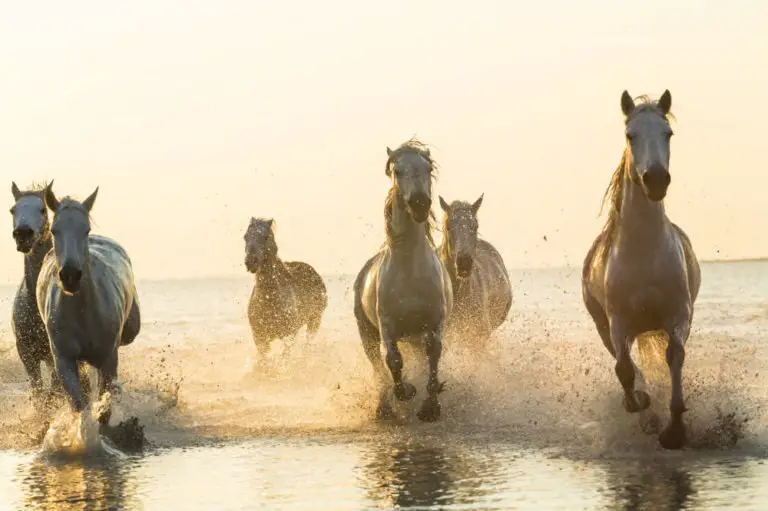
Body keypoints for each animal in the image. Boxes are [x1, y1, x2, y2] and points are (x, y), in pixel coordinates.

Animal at [36, 186, 142, 434]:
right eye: (54, 230)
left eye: (86, 229)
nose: (70, 275)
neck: (82, 312)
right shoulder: (64, 360)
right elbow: (79, 406)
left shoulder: (108, 359)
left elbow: (105, 407)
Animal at [243, 218, 328, 362]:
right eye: (245, 237)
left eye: (266, 237)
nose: (250, 262)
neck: (269, 299)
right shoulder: (259, 338)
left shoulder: (289, 335)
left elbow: (284, 358)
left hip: (315, 320)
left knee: (308, 344)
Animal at [356, 138, 456, 422]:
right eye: (397, 171)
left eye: (428, 169)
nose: (420, 203)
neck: (409, 270)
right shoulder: (387, 327)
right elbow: (393, 360)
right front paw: (406, 391)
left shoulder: (434, 322)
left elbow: (433, 352)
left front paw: (430, 407)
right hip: (367, 333)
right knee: (377, 367)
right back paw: (384, 408)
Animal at [584, 90, 704, 450]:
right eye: (630, 135)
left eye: (668, 133)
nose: (656, 179)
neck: (644, 252)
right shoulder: (618, 323)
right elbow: (624, 369)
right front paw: (641, 407)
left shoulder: (679, 314)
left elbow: (674, 356)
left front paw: (675, 431)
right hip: (604, 326)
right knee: (624, 364)